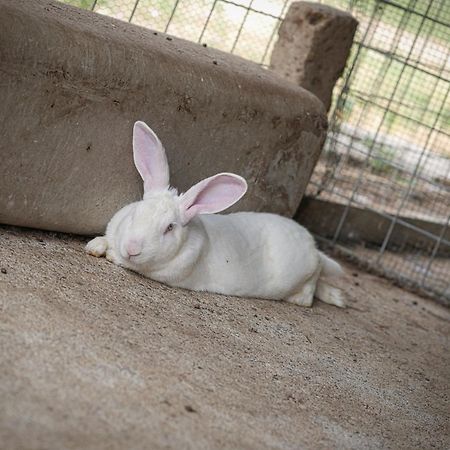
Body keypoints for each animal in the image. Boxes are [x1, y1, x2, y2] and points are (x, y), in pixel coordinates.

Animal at [86, 121, 344, 308]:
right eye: (136, 213)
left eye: (169, 227)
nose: (132, 249)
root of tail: (314, 249)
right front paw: (96, 245)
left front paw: (110, 254)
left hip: (306, 275)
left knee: (309, 293)